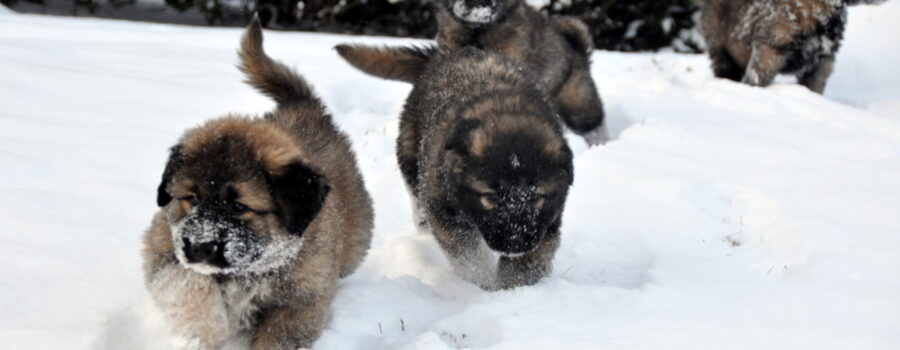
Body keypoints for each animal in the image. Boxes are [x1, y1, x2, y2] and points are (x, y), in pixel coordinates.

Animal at [143, 17, 372, 350]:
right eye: (192, 198)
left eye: (239, 206)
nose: (199, 246)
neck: (247, 273)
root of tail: (305, 107)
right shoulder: (162, 249)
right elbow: (187, 285)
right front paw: (209, 331)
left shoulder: (299, 303)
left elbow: (276, 338)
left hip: (354, 245)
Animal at [334, 43, 572, 290]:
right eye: (491, 197)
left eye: (536, 197)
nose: (514, 244)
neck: (505, 110)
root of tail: (443, 55)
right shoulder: (445, 210)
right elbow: (469, 255)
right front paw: (483, 284)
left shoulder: (548, 221)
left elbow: (530, 261)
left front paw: (512, 287)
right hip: (410, 156)